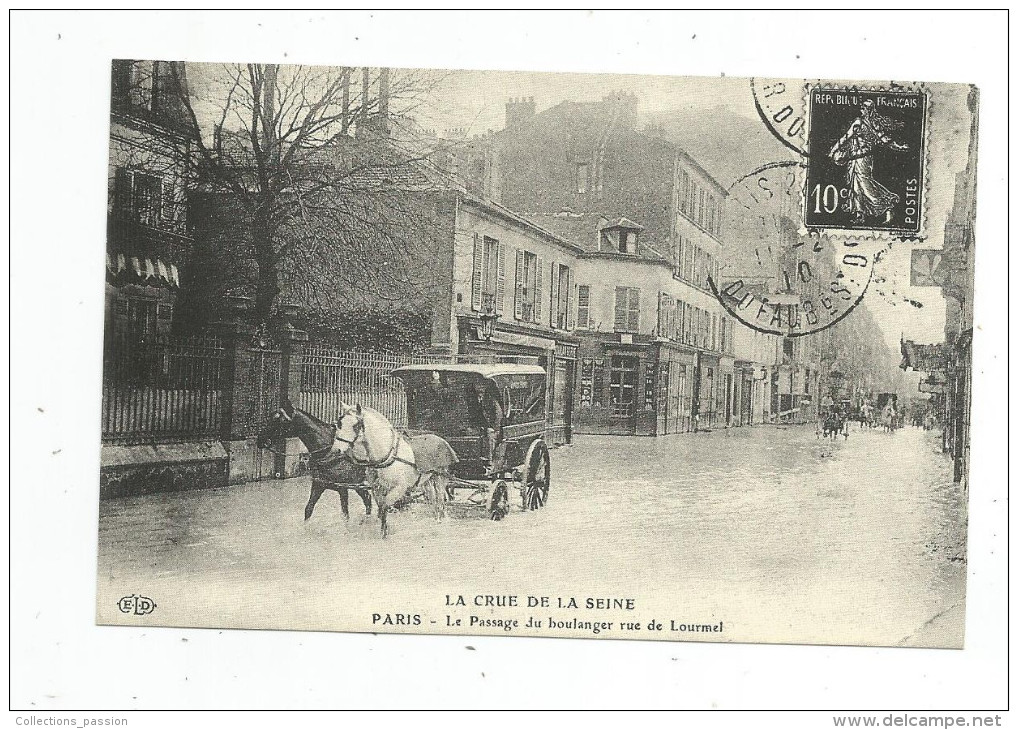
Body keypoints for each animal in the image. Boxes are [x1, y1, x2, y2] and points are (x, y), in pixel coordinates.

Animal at [331, 405, 456, 533]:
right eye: (340, 424)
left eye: (356, 425)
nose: (336, 450)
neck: (386, 455)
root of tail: (441, 439)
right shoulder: (377, 488)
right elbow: (381, 508)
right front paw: (383, 530)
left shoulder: (399, 488)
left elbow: (385, 506)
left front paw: (385, 532)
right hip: (428, 479)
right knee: (432, 498)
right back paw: (435, 518)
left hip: (441, 476)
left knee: (441, 498)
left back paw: (442, 519)